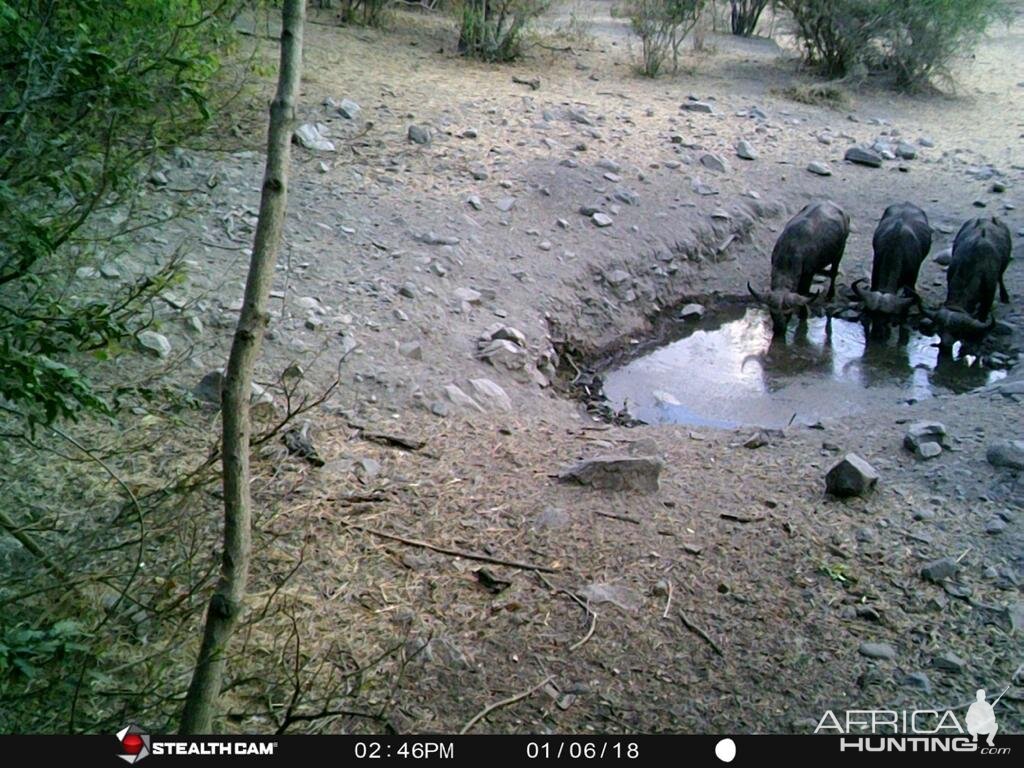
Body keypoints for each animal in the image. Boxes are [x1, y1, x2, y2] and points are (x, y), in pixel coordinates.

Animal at [749, 199, 851, 331]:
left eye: (788, 314)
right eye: (772, 313)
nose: (779, 330)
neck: (789, 251)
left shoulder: (808, 274)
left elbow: (803, 293)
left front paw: (803, 314)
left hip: (840, 252)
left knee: (834, 272)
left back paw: (830, 295)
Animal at [933, 215, 1011, 350]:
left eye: (958, 332)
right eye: (940, 329)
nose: (945, 345)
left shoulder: (989, 294)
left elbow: (983, 314)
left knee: (1001, 277)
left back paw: (1004, 297)